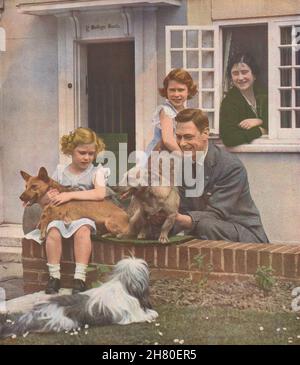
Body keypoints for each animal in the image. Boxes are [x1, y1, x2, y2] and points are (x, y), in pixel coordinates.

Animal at [0, 258, 158, 336]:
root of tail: (33, 314)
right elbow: (144, 315)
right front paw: (153, 313)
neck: (124, 284)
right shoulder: (131, 314)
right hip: (66, 323)